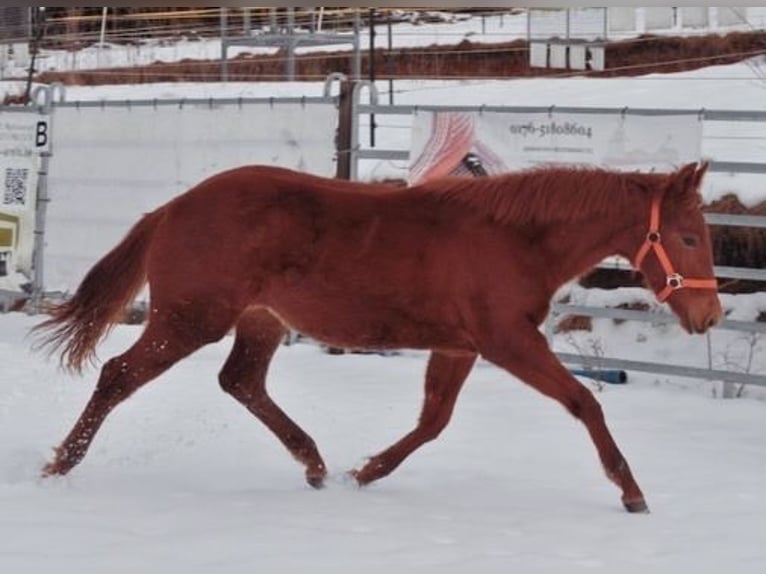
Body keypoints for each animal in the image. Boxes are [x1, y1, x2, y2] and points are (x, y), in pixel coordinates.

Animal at [34, 161, 722, 513]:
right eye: (689, 236)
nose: (711, 316)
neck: (512, 239)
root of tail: (171, 210)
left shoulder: (459, 346)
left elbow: (432, 422)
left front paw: (365, 472)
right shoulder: (507, 340)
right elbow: (584, 402)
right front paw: (631, 491)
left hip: (259, 320)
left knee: (241, 381)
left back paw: (314, 464)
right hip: (190, 319)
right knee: (119, 375)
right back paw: (59, 464)